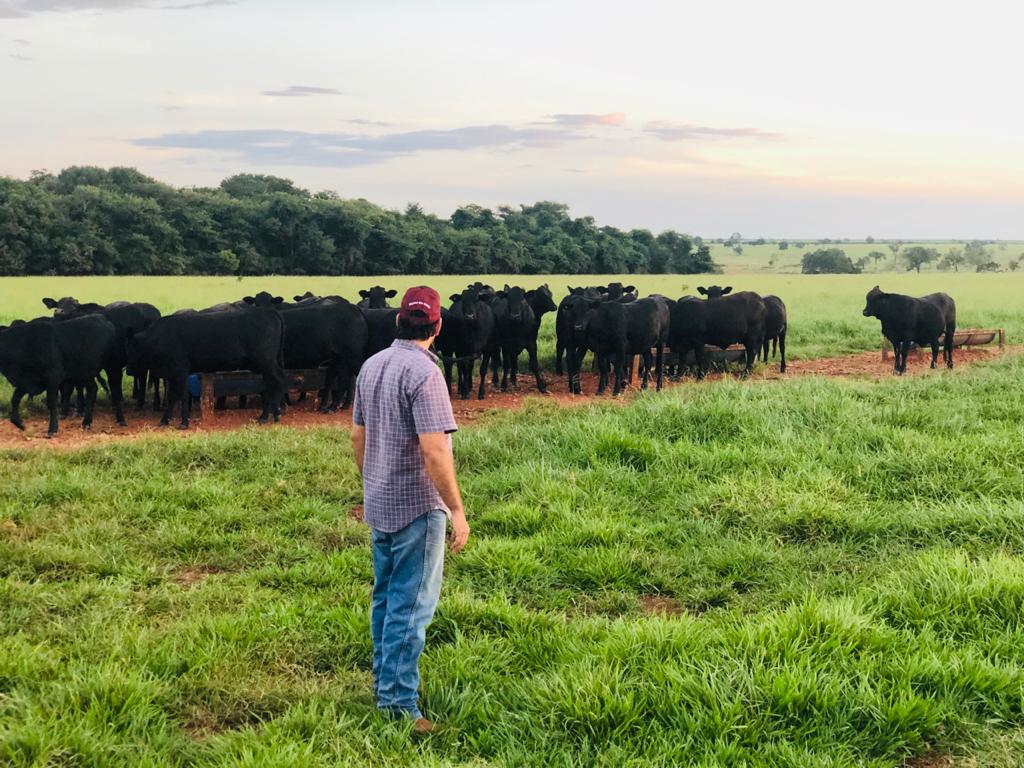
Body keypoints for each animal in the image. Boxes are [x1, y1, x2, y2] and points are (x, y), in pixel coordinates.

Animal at [130, 290, 288, 430]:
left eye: (133, 349)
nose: (130, 371)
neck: (160, 336)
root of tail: (268, 312)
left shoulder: (179, 370)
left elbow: (174, 396)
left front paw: (171, 421)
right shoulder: (179, 373)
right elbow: (181, 396)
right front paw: (180, 421)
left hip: (266, 362)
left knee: (277, 381)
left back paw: (267, 416)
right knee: (270, 384)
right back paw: (273, 414)